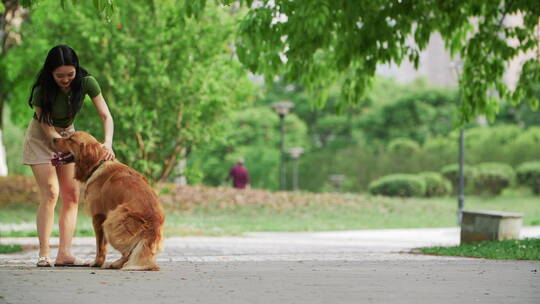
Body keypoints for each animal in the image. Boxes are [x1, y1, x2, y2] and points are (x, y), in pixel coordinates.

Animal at [55, 131, 166, 270]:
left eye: (70, 139)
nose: (53, 139)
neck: (98, 164)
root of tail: (152, 229)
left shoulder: (98, 217)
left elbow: (100, 246)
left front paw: (97, 262)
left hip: (112, 220)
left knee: (128, 253)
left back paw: (116, 263)